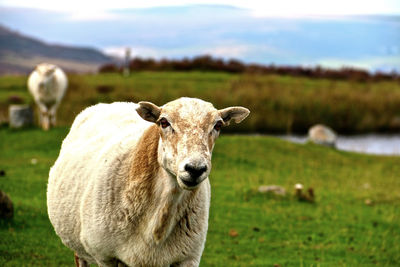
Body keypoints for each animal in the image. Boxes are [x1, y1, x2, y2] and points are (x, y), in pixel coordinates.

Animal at [47, 97, 250, 266]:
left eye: (218, 125)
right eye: (164, 122)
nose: (195, 169)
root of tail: (114, 103)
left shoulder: (188, 258)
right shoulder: (105, 256)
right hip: (80, 247)